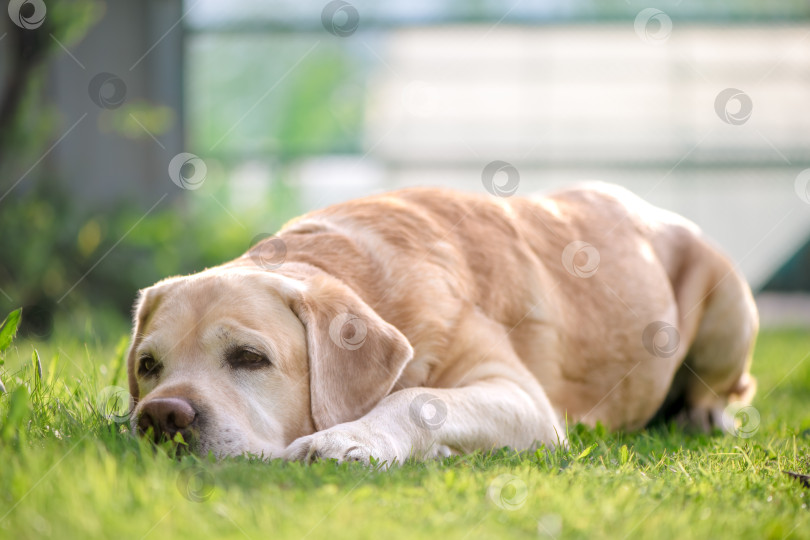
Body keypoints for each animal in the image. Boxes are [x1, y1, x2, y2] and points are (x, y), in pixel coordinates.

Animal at [128, 182, 756, 464]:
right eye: (148, 366)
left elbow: (418, 398)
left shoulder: (524, 399)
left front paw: (350, 437)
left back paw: (705, 416)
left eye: (249, 358)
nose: (161, 415)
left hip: (731, 302)